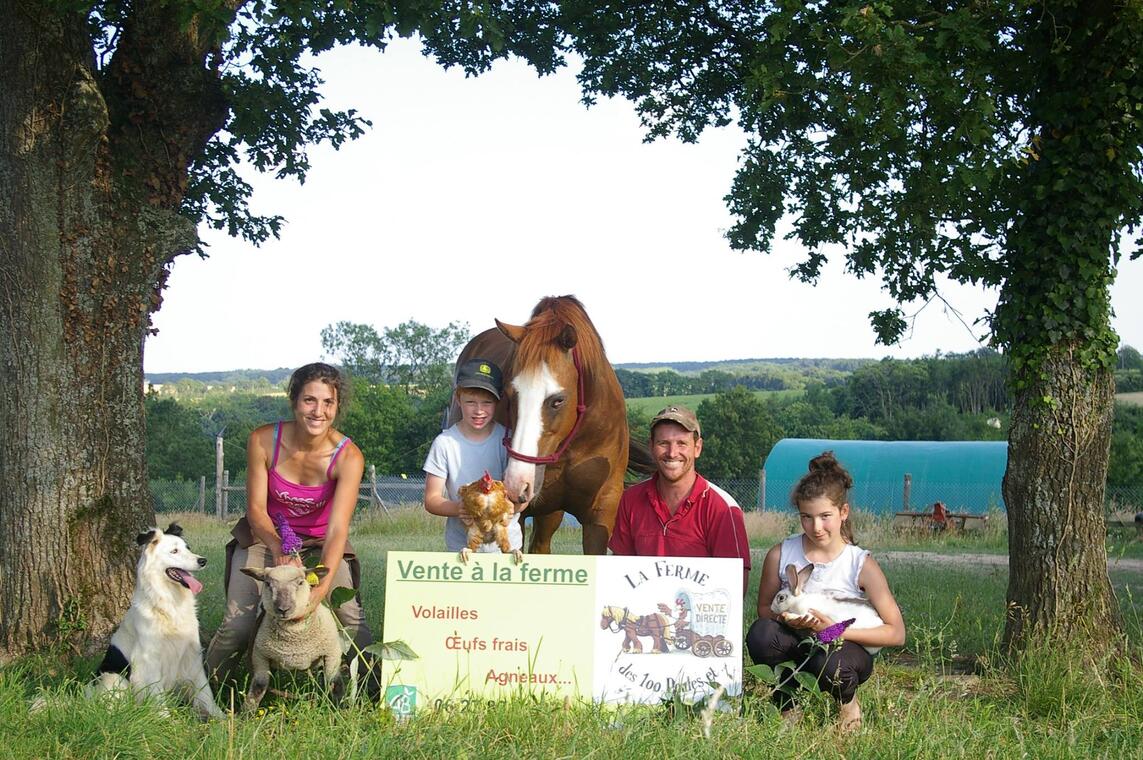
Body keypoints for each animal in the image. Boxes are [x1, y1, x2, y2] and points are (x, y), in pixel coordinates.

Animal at [90, 521, 224, 717]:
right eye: (174, 551)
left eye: (188, 548)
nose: (203, 561)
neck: (169, 604)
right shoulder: (148, 660)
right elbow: (156, 695)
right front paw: (164, 719)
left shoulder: (191, 656)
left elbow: (205, 693)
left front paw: (221, 717)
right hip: (113, 678)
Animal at [240, 562, 342, 713]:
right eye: (268, 583)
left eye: (300, 582)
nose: (283, 609)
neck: (294, 636)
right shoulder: (259, 656)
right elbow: (259, 686)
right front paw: (246, 714)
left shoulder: (332, 654)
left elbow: (335, 684)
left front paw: (340, 711)